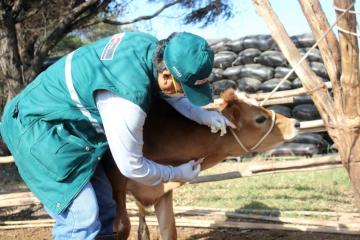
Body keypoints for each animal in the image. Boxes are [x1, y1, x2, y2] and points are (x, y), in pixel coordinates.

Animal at [103, 89, 298, 239]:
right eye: (260, 119)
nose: (295, 123)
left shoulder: (163, 190)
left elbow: (169, 230)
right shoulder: (117, 187)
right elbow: (121, 227)